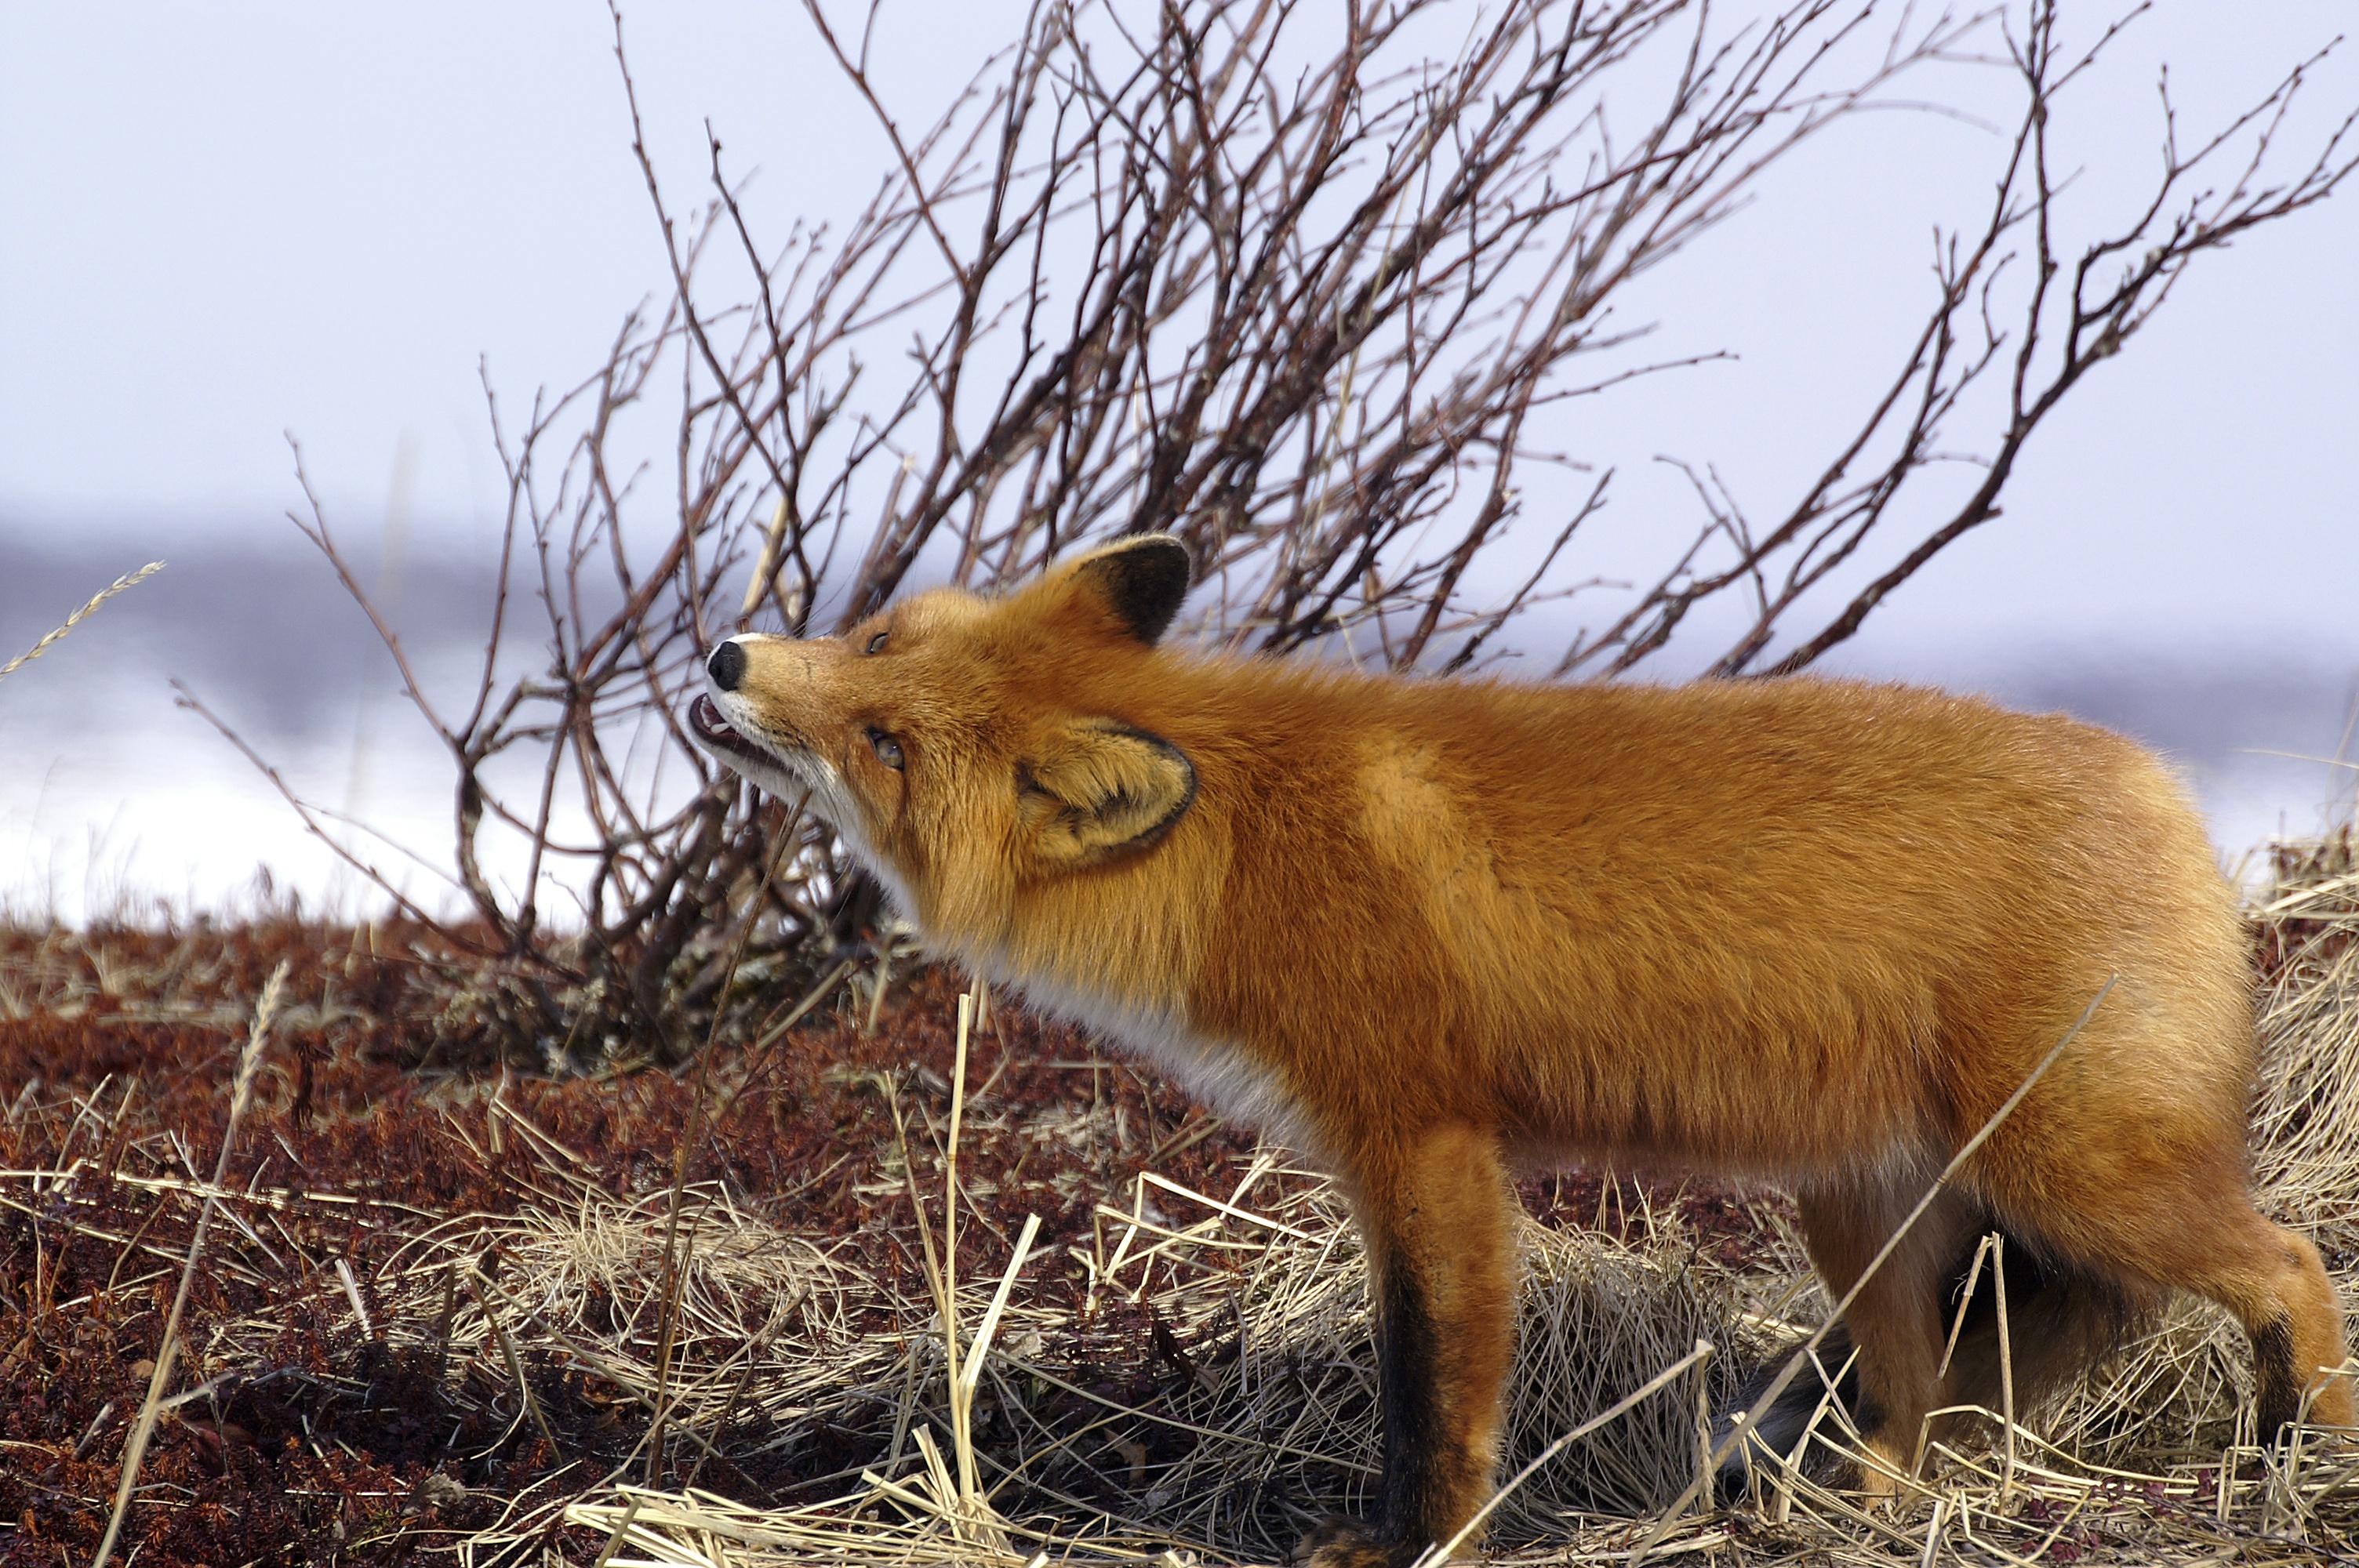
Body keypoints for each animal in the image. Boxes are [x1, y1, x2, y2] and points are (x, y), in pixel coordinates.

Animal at [689, 537, 2349, 1565]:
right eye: (872, 640)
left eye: (888, 744)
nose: (723, 660)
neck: (1246, 838)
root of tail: (2168, 795)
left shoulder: (1422, 1138)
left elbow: (1435, 1384)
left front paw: (1413, 1544)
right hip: (1865, 1217)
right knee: (1916, 1400)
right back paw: (1843, 1519)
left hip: (2069, 1172)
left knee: (2289, 1266)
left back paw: (2294, 1456)